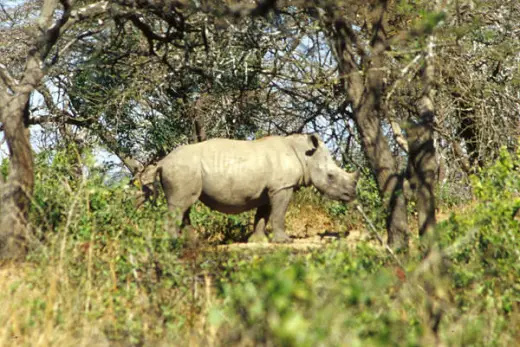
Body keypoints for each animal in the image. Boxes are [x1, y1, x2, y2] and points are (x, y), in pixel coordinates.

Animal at [140, 135, 360, 243]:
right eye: (331, 176)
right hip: (182, 168)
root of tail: (163, 161)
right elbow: (279, 213)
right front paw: (284, 241)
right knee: (180, 205)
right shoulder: (282, 187)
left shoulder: (271, 190)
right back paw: (173, 245)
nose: (351, 195)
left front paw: (257, 241)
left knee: (185, 206)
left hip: (185, 170)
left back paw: (193, 244)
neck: (305, 155)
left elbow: (263, 215)